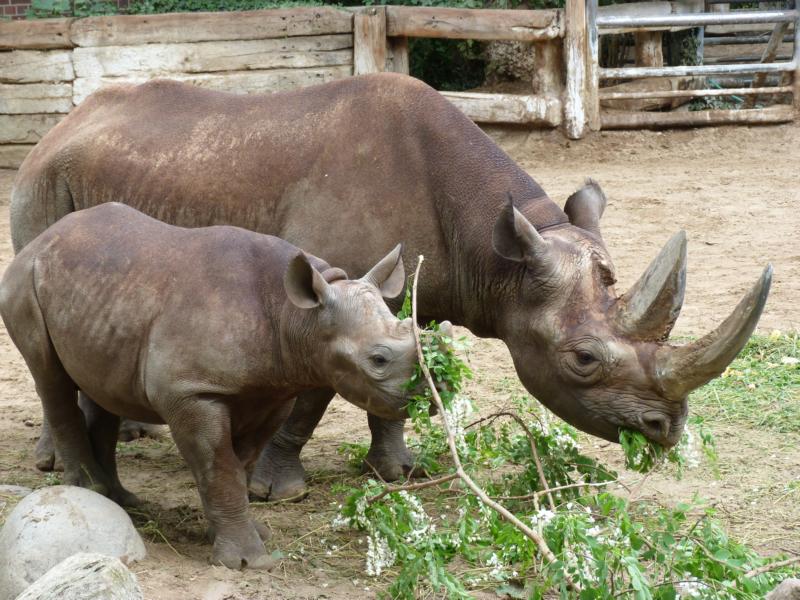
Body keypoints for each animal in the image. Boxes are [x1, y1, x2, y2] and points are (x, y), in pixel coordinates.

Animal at [0, 202, 420, 569]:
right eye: (378, 360)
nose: (423, 401)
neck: (296, 318)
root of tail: (43, 238)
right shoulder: (189, 390)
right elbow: (218, 464)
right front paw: (248, 562)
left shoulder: (273, 391)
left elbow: (239, 463)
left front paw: (245, 534)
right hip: (24, 280)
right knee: (50, 378)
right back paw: (91, 490)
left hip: (101, 294)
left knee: (100, 388)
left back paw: (122, 500)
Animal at [10, 73, 771, 502]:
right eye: (584, 359)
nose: (666, 431)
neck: (493, 249)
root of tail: (62, 123)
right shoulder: (323, 293)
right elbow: (315, 391)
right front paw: (277, 491)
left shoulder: (413, 291)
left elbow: (409, 367)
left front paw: (396, 471)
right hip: (43, 182)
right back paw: (54, 462)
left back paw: (135, 427)